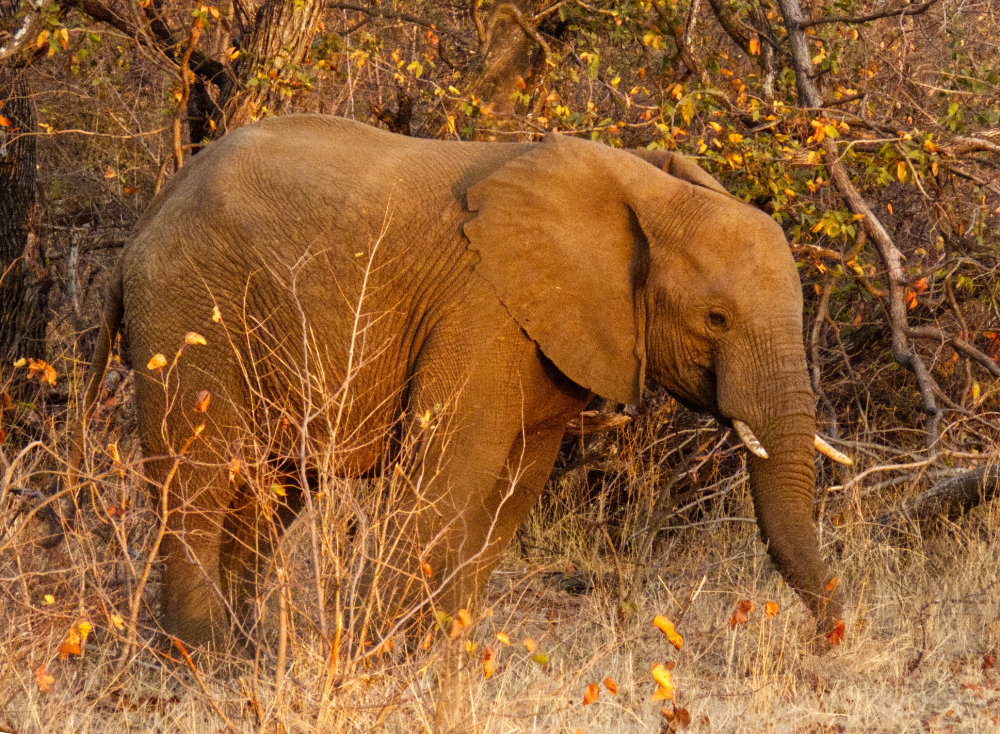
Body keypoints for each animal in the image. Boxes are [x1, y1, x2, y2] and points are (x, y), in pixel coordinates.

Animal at [76, 113, 844, 648]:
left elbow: (512, 490)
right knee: (199, 478)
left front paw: (439, 658)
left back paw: (243, 658)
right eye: (716, 318)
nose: (827, 644)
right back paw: (199, 663)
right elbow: (450, 473)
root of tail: (150, 214)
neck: (639, 188)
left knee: (271, 489)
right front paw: (380, 659)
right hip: (187, 313)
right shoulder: (482, 308)